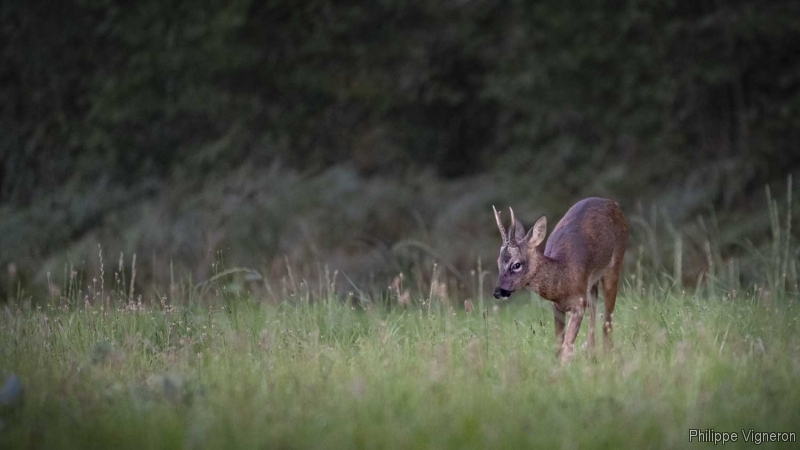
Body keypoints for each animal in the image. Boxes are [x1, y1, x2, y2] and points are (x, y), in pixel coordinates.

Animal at [490, 198, 628, 362]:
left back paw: (607, 355)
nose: (498, 292)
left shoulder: (579, 303)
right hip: (592, 282)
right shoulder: (557, 307)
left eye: (516, 264)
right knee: (594, 309)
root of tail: (613, 203)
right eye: (498, 262)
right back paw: (591, 354)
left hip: (614, 266)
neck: (563, 280)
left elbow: (567, 345)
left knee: (607, 318)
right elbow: (558, 344)